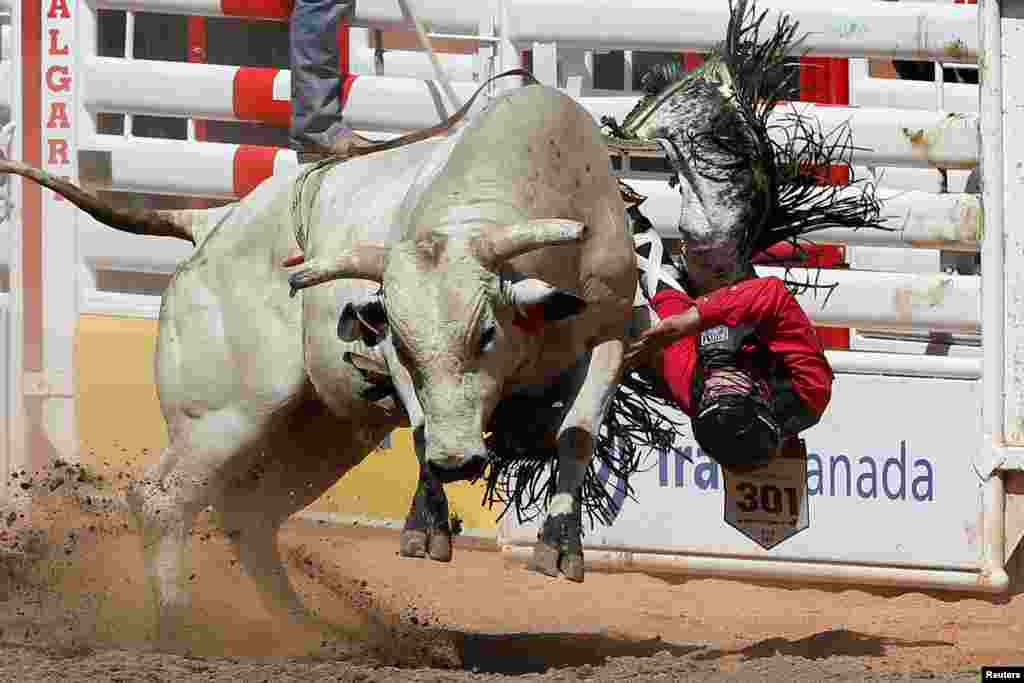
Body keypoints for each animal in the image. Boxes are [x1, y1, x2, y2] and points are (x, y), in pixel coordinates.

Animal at [2, 82, 638, 643]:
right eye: (404, 344)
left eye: (485, 332)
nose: (458, 461)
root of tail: (210, 224)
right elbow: (423, 426)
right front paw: (426, 524)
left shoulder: (610, 332)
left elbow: (578, 431)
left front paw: (560, 544)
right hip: (222, 415)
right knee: (162, 498)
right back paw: (178, 626)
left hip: (317, 431)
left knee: (249, 513)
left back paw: (303, 630)